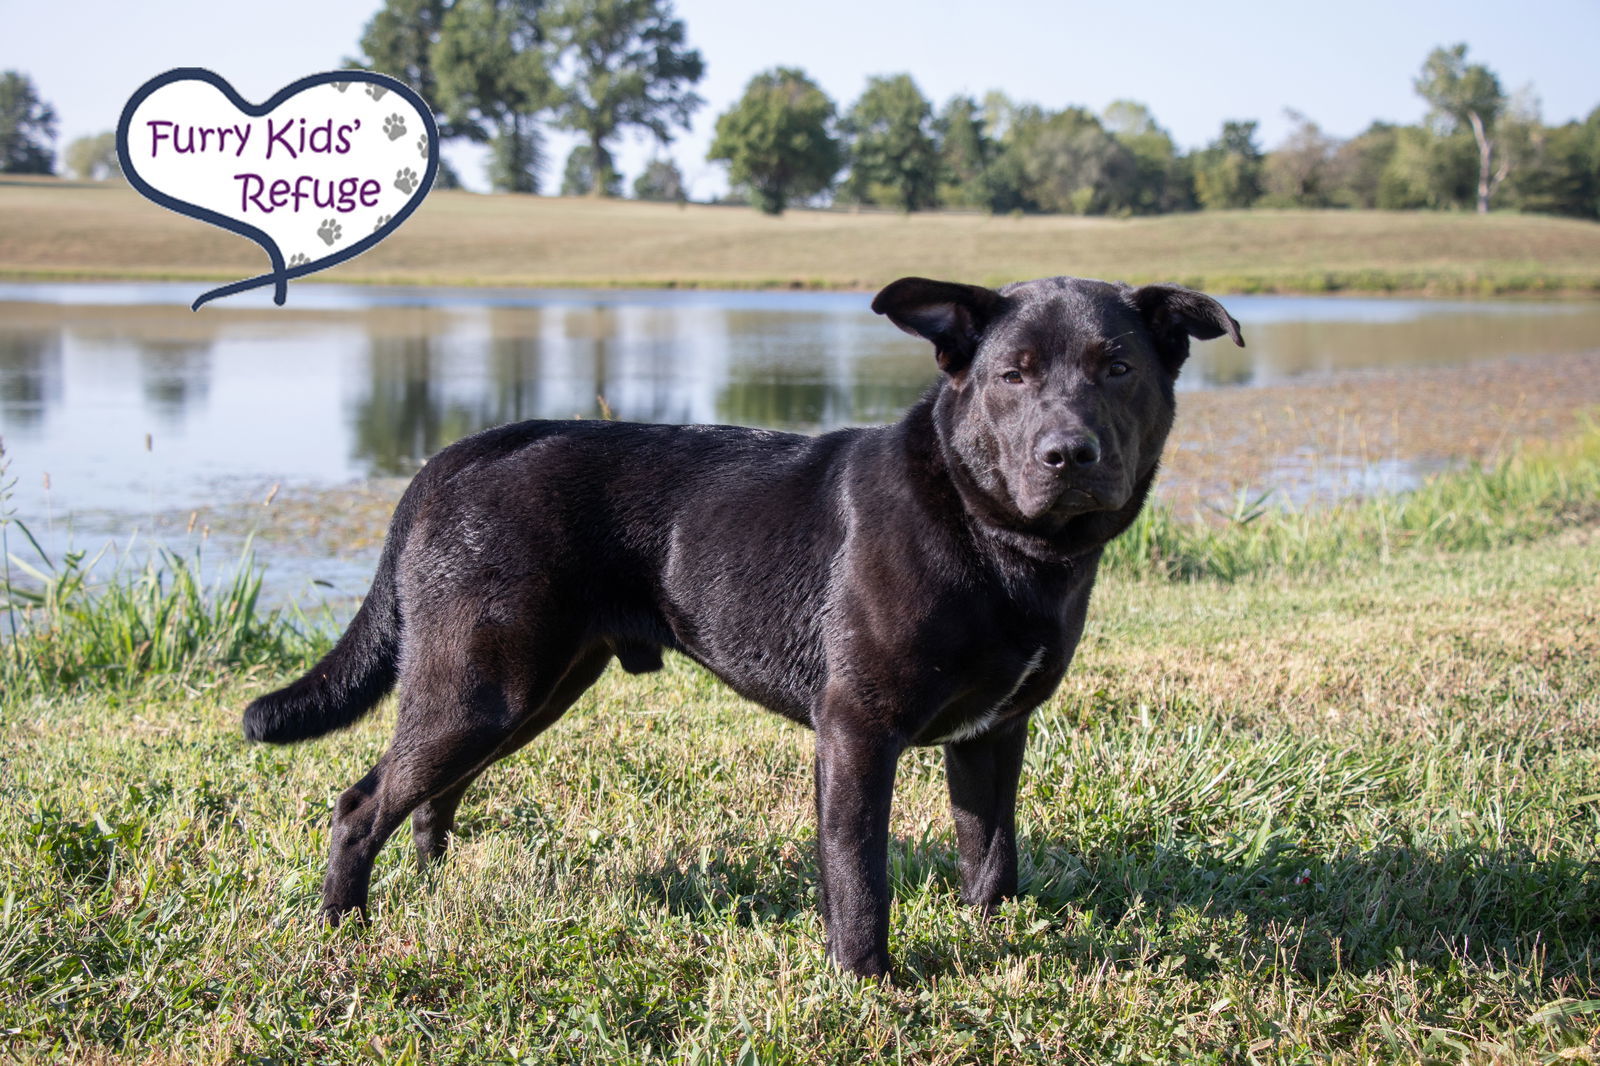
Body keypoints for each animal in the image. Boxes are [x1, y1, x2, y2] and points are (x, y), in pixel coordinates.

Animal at [240, 272, 1235, 973]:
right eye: (1011, 375)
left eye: (1118, 368)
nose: (1068, 454)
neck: (984, 531)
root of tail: (458, 454)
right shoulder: (856, 730)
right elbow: (858, 877)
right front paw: (869, 984)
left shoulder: (993, 735)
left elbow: (990, 857)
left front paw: (993, 945)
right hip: (482, 688)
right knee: (361, 804)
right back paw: (342, 929)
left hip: (525, 689)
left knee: (429, 797)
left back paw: (430, 884)